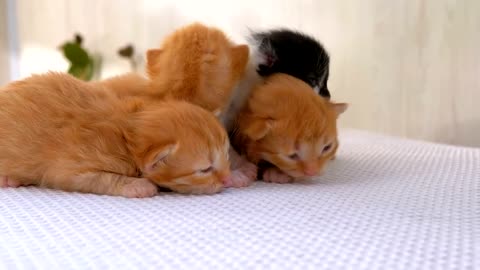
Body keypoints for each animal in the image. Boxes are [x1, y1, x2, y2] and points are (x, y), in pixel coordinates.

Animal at [0, 73, 232, 197]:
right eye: (205, 169)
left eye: (227, 156)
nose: (227, 179)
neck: (127, 130)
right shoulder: (70, 168)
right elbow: (103, 178)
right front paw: (138, 185)